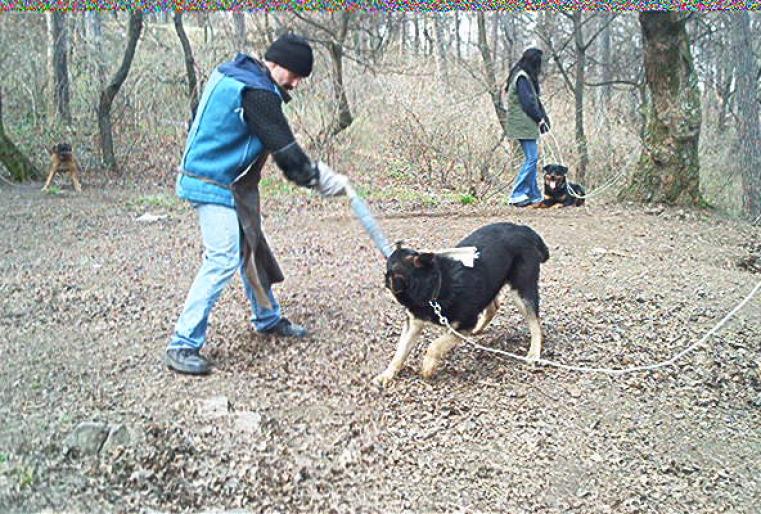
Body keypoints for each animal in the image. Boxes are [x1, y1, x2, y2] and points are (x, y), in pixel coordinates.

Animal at [372, 221, 548, 384]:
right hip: (492, 284)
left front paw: (428, 366)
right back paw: (479, 329)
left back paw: (534, 353)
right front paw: (387, 374)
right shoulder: (414, 323)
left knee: (535, 322)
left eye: (387, 273)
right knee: (493, 306)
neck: (434, 286)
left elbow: (435, 345)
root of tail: (523, 228)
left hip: (522, 290)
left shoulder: (463, 325)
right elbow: (400, 351)